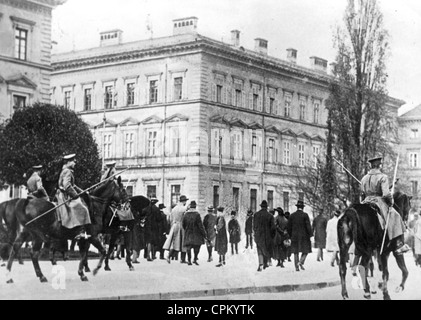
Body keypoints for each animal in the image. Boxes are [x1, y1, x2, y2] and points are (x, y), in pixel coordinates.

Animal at [0, 178, 128, 282]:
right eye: (123, 189)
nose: (127, 203)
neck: (94, 206)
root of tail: (27, 202)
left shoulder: (84, 239)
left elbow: (83, 254)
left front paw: (82, 273)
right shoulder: (93, 236)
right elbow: (102, 251)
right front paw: (95, 270)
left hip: (25, 233)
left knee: (15, 248)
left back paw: (9, 276)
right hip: (37, 236)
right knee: (33, 253)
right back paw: (41, 275)